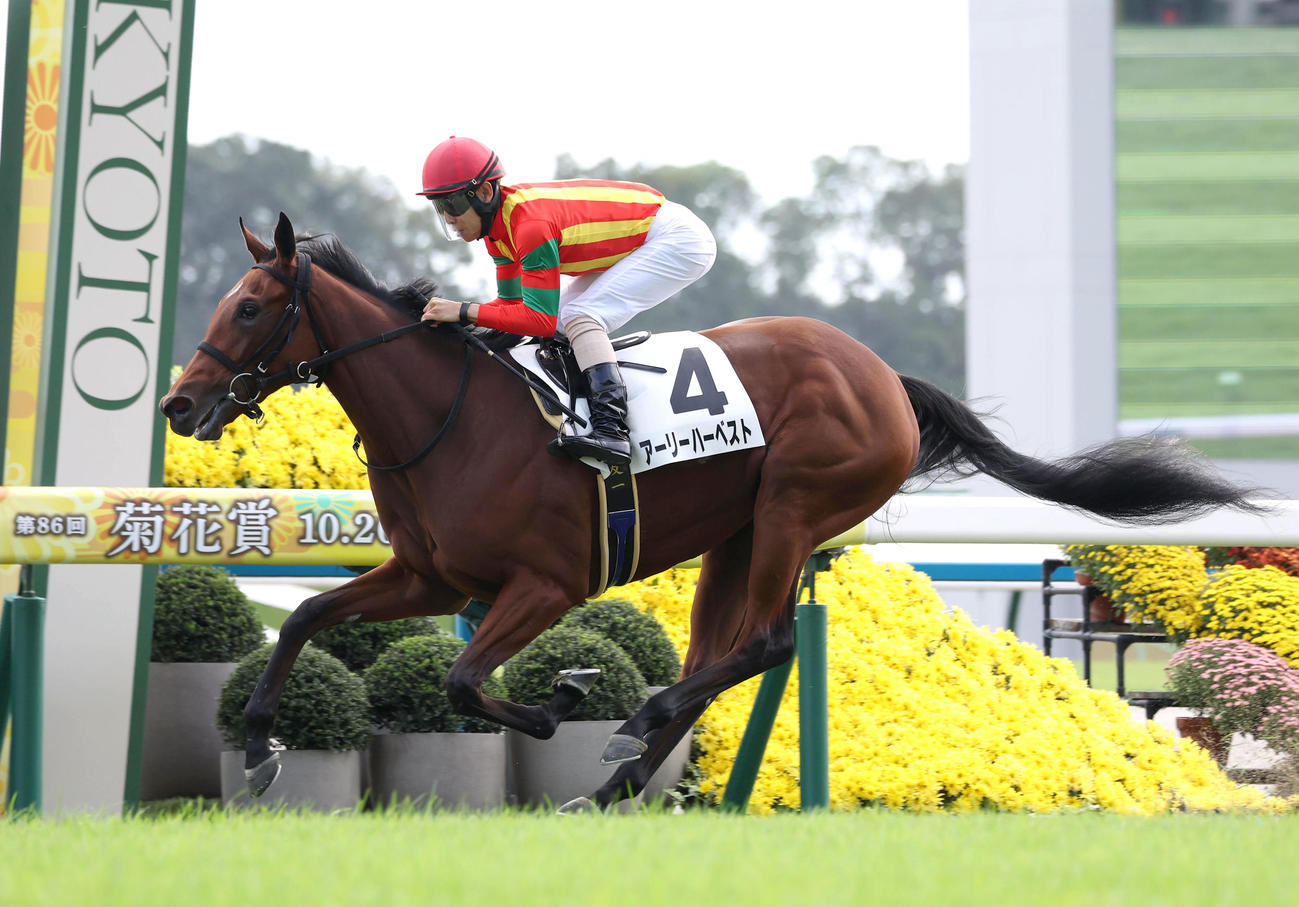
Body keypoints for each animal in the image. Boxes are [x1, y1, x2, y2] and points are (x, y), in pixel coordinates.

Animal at [160, 212, 1261, 811]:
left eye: (250, 307)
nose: (179, 403)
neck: (448, 418)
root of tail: (885, 377)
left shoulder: (545, 582)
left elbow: (467, 680)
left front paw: (561, 700)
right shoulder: (431, 574)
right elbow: (307, 617)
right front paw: (257, 750)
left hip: (793, 512)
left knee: (762, 645)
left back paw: (626, 731)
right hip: (736, 537)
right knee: (716, 658)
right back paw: (610, 779)